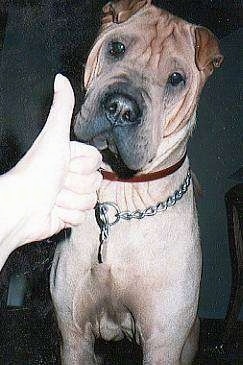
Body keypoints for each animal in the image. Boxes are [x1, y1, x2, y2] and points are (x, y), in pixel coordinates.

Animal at [50, 1, 223, 362]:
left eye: (176, 78)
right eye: (117, 48)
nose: (120, 108)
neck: (122, 197)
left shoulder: (162, 343)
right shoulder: (74, 337)